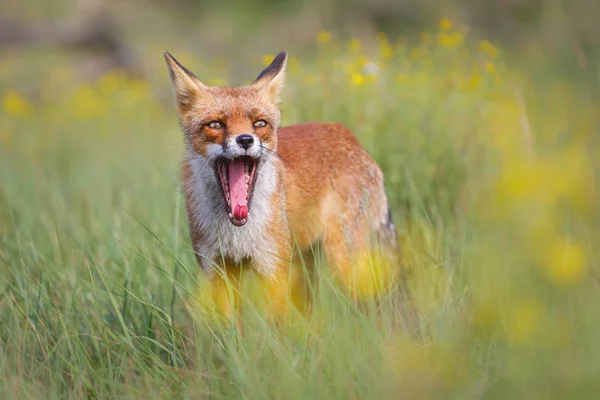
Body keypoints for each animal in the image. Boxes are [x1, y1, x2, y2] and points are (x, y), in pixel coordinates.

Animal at [164, 51, 404, 324]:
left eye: (259, 123)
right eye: (215, 125)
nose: (245, 140)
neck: (237, 233)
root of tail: (349, 136)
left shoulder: (273, 269)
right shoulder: (217, 271)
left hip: (343, 260)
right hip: (304, 267)